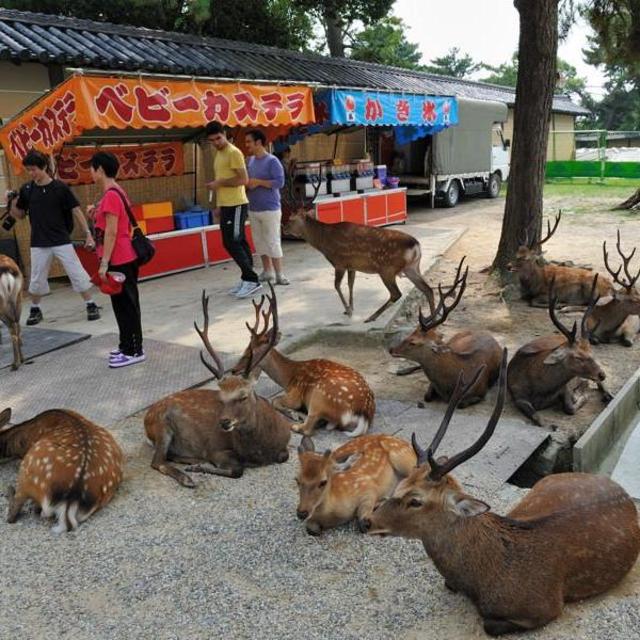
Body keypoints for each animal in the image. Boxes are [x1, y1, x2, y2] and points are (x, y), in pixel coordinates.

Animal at [143, 289, 291, 487]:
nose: (224, 422)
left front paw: (198, 466)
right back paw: (187, 477)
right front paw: (200, 468)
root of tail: (146, 418)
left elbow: (284, 456)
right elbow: (237, 470)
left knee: (166, 457)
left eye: (243, 396)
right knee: (157, 461)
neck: (260, 450)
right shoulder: (216, 449)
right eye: (220, 398)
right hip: (162, 426)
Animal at [230, 287, 375, 437]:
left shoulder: (296, 395)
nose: (233, 369)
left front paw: (294, 413)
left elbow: (274, 400)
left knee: (307, 428)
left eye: (249, 353)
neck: (288, 378)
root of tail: (365, 414)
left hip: (319, 396)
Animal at [366, 351, 640, 636]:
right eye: (400, 485)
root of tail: (621, 490)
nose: (368, 521)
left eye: (415, 501)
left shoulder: (547, 607)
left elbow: (488, 624)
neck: (480, 581)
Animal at [389, 257, 502, 406]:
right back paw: (401, 370)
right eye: (409, 334)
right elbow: (427, 396)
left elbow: (460, 403)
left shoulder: (480, 392)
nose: (391, 349)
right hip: (452, 339)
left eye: (413, 342)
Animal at [508, 275, 612, 427]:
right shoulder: (517, 395)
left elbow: (569, 407)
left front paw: (582, 395)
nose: (601, 374)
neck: (539, 390)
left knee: (599, 385)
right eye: (578, 357)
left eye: (592, 353)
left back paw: (607, 394)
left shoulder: (565, 387)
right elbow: (538, 419)